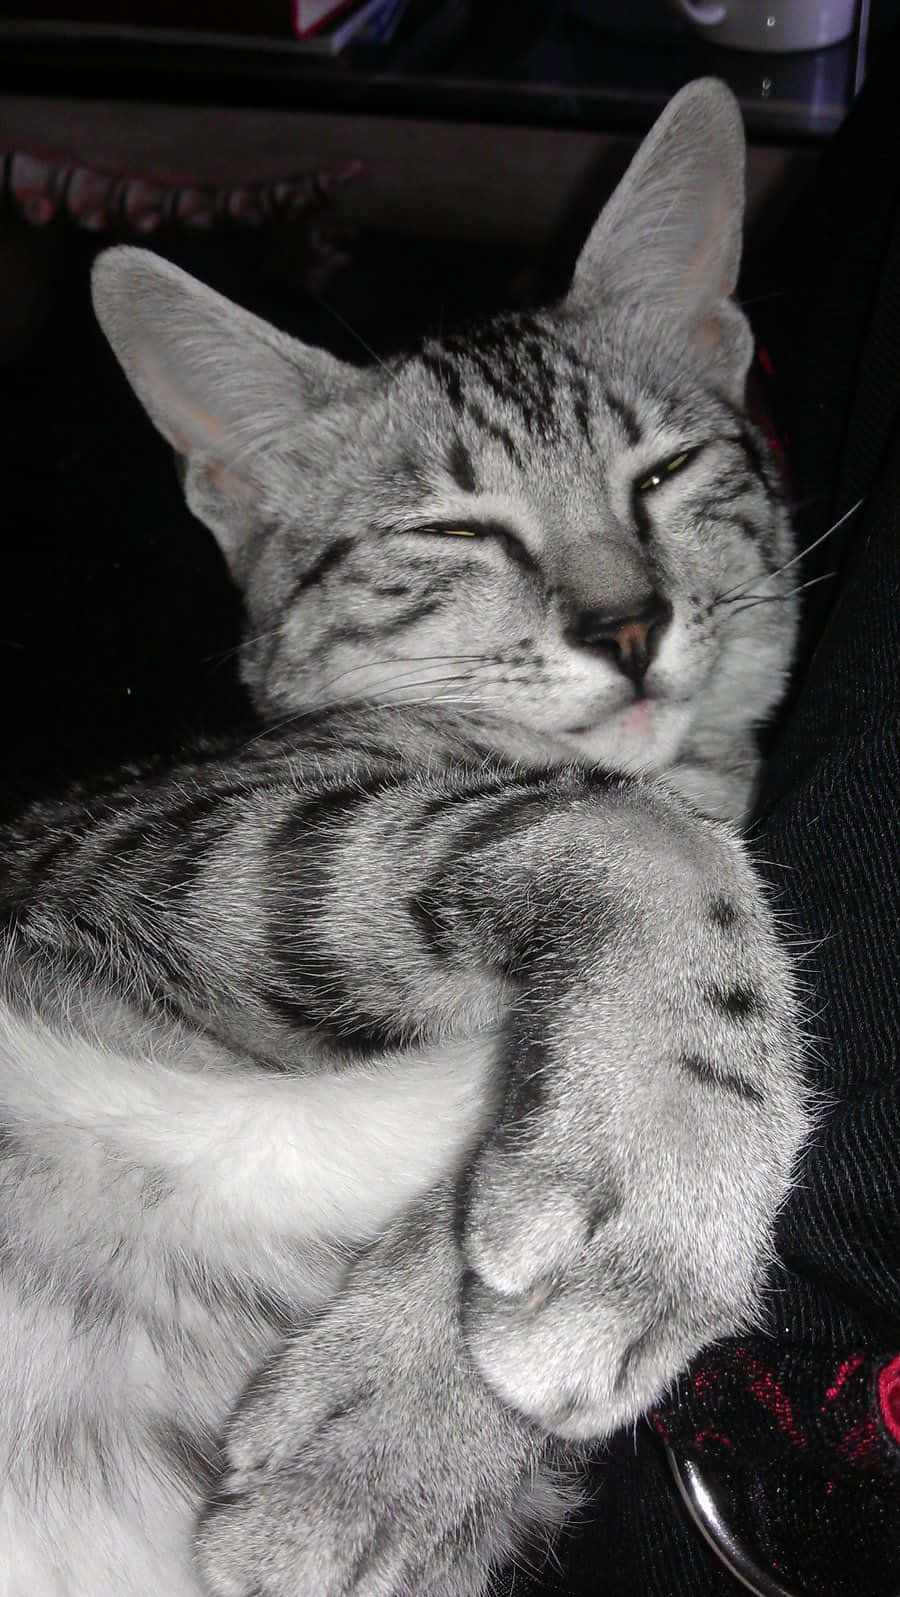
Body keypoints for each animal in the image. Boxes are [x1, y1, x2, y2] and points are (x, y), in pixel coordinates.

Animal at [1, 84, 807, 1597]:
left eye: (667, 470)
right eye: (455, 529)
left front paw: (402, 1428)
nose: (627, 623)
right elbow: (641, 830)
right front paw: (660, 1192)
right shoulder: (152, 850)